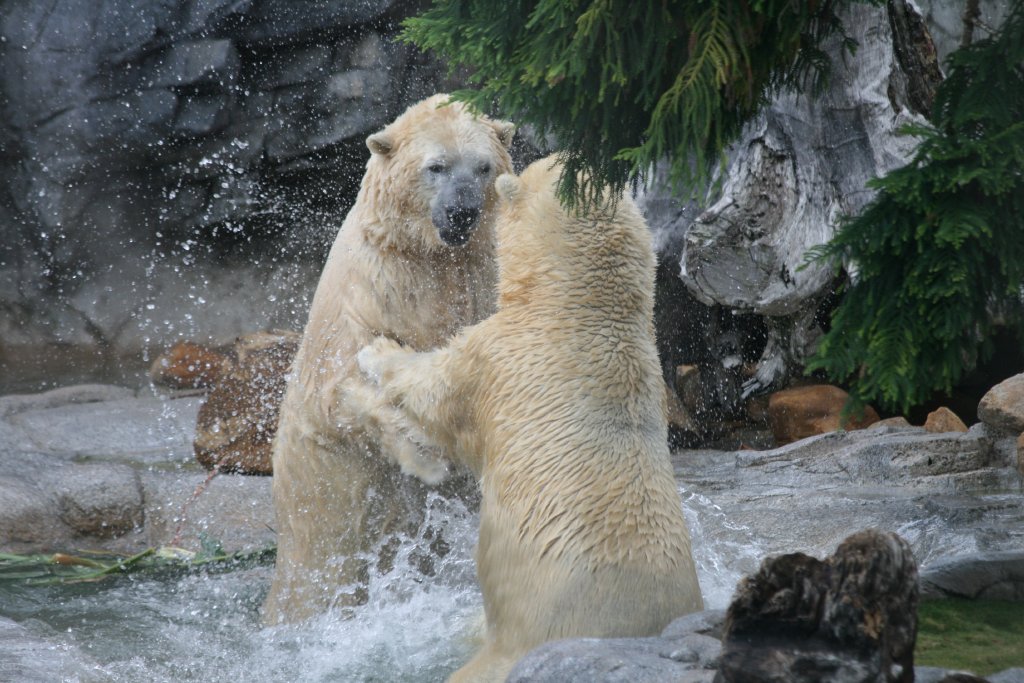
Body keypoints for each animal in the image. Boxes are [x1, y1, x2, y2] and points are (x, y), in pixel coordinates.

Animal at [262, 94, 515, 625]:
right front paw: (425, 455)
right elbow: (340, 389)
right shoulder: (371, 289)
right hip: (315, 519)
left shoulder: (480, 280)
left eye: (483, 167)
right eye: (436, 166)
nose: (462, 212)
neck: (430, 259)